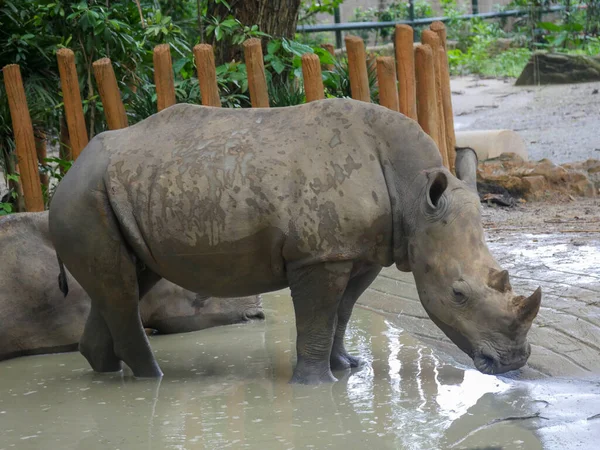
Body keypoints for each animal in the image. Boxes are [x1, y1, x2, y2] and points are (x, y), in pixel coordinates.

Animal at [49, 98, 540, 384]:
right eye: (458, 294)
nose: (512, 363)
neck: (414, 196)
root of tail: (69, 170)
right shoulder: (319, 256)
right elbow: (319, 317)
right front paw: (317, 385)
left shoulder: (363, 252)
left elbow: (342, 312)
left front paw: (347, 368)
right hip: (83, 200)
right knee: (120, 288)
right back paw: (154, 379)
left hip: (114, 195)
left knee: (128, 280)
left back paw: (110, 373)